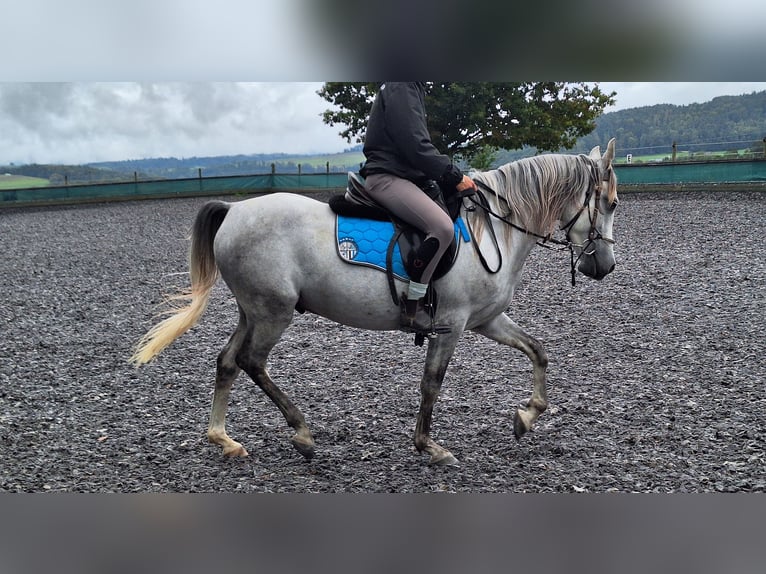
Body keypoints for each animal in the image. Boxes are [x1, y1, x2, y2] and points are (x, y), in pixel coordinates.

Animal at [132, 140, 620, 468]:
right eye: (611, 203)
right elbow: (431, 384)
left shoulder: (488, 320)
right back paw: (302, 434)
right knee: (252, 362)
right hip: (273, 312)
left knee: (228, 361)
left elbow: (538, 351)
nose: (606, 267)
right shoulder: (452, 325)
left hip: (250, 310)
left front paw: (527, 416)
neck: (495, 229)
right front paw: (430, 447)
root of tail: (235, 211)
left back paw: (223, 439)